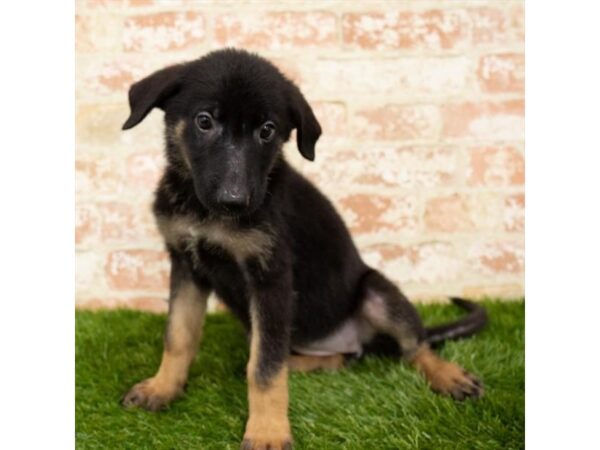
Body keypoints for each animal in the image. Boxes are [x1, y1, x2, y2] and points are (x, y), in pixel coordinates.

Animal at [118, 49, 488, 450]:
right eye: (204, 121)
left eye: (267, 130)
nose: (234, 202)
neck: (205, 214)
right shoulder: (187, 266)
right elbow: (179, 336)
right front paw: (162, 388)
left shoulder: (272, 280)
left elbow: (265, 368)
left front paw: (266, 431)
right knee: (335, 358)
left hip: (375, 292)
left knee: (414, 347)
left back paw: (448, 375)